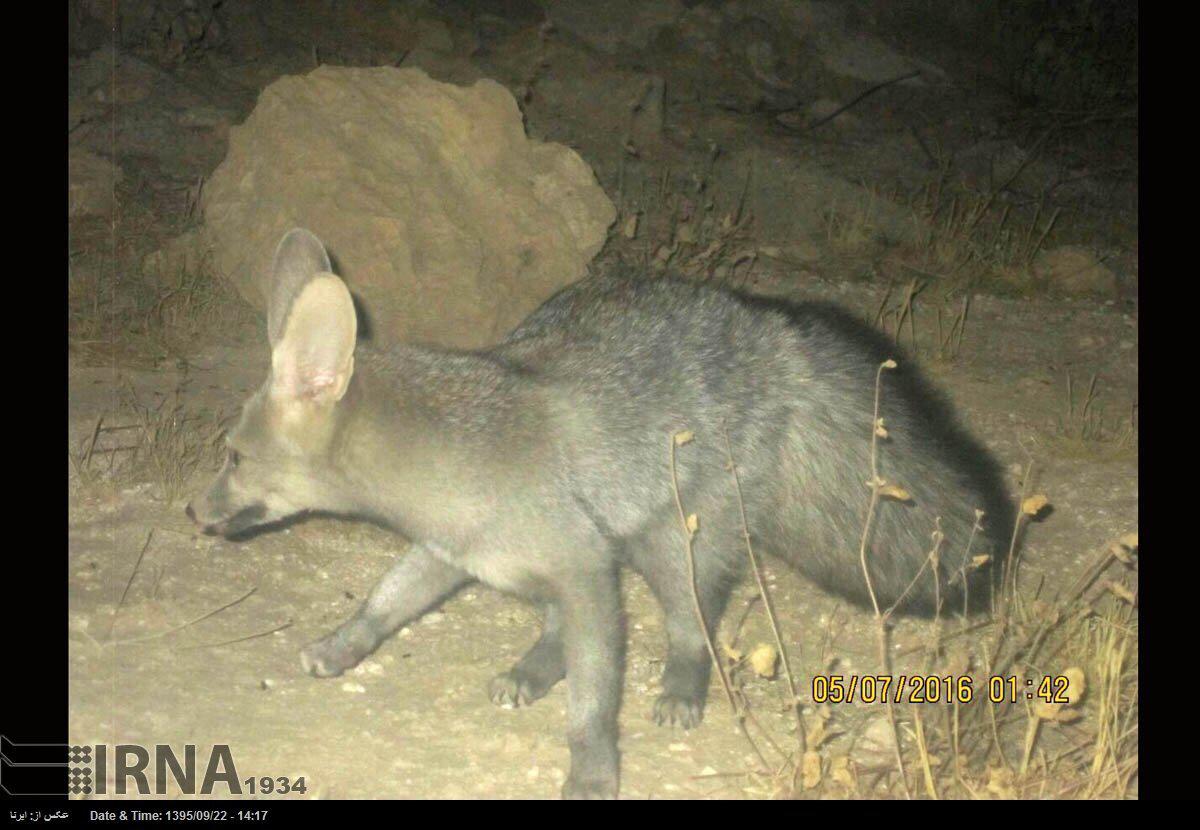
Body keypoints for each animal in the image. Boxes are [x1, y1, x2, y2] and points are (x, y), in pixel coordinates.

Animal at [187, 226, 1012, 796]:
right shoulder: (460, 552)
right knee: (565, 628)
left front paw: (592, 770)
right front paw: (339, 647)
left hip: (668, 547)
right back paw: (531, 669)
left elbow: (593, 700)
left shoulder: (579, 565)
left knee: (692, 628)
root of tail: (767, 322)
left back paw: (678, 688)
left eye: (233, 458)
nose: (194, 511)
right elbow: (385, 604)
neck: (455, 453)